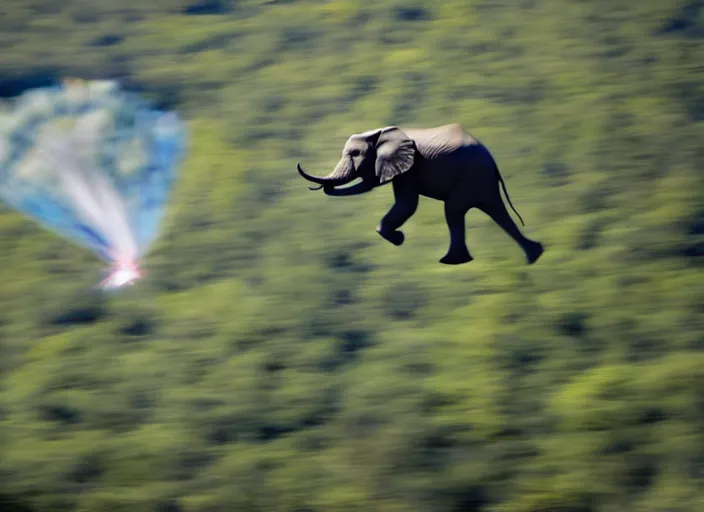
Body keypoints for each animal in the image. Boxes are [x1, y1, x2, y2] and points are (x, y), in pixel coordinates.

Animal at [296, 124, 544, 266]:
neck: (379, 134)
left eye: (355, 153)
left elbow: (407, 204)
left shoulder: (409, 168)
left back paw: (451, 262)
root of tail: (494, 164)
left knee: (454, 210)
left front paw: (399, 239)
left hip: (471, 177)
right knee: (495, 210)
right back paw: (534, 255)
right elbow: (379, 189)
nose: (324, 187)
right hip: (480, 180)